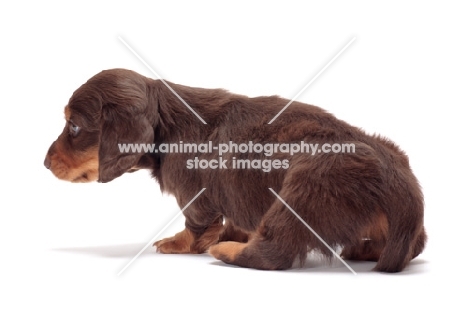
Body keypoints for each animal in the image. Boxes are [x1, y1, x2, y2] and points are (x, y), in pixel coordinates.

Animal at [44, 69, 428, 272]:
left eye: (74, 127)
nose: (44, 163)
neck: (167, 124)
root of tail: (399, 182)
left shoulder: (194, 195)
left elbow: (196, 225)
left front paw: (179, 243)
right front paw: (233, 232)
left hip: (304, 188)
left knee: (275, 251)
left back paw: (227, 252)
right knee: (415, 243)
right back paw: (364, 248)